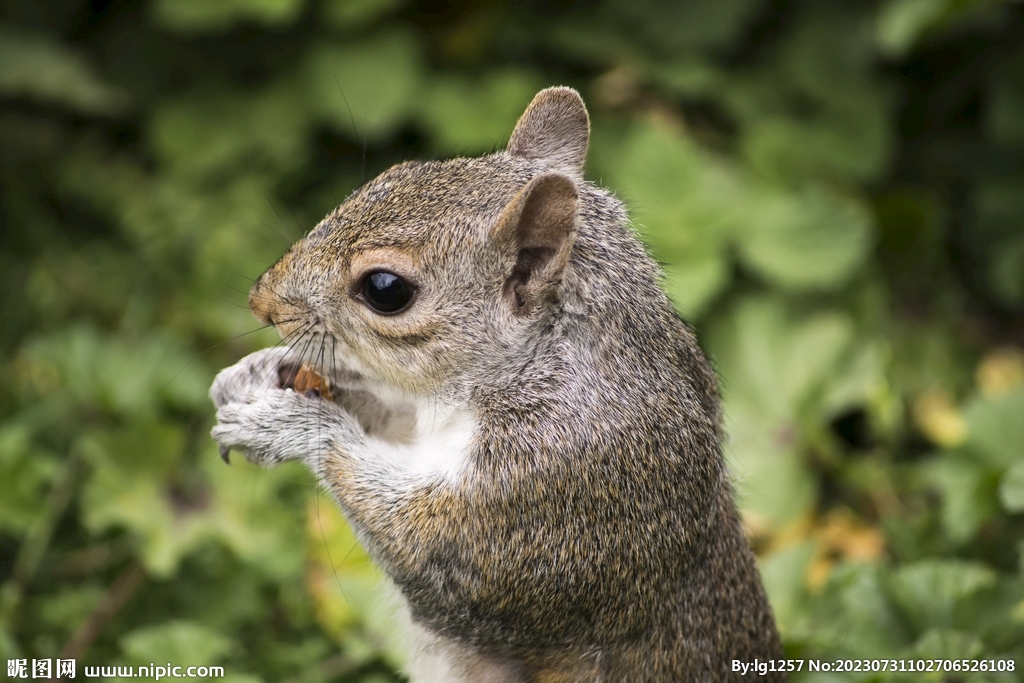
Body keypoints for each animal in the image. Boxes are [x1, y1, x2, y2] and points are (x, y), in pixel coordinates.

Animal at [207, 88, 782, 679]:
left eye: (386, 289)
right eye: (393, 174)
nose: (261, 303)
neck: (522, 373)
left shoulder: (549, 494)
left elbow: (425, 552)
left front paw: (291, 425)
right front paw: (258, 372)